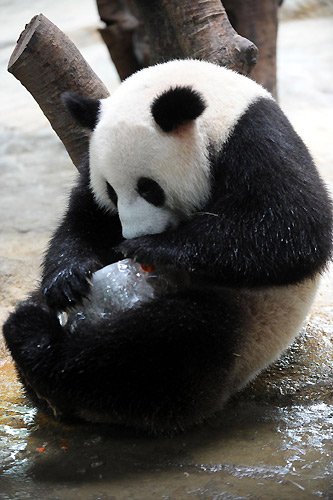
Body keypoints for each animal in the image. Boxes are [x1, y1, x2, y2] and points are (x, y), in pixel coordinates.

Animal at [3, 57, 332, 434]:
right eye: (112, 191)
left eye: (149, 188)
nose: (131, 235)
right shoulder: (92, 164)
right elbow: (84, 220)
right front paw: (67, 279)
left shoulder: (254, 138)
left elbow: (294, 230)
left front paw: (151, 247)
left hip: (249, 325)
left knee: (166, 343)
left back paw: (37, 343)